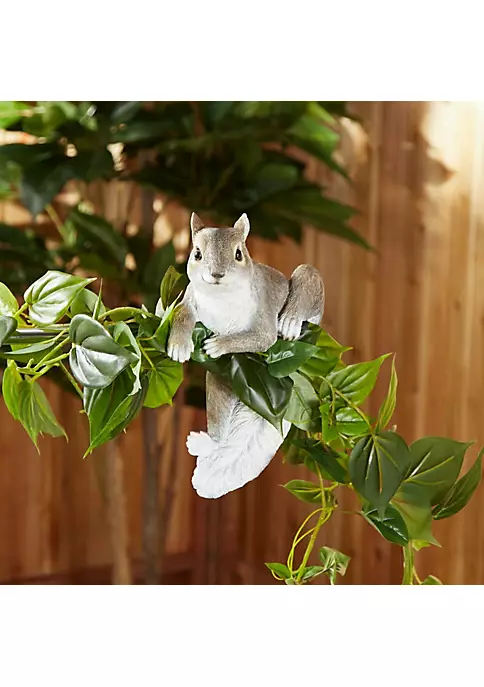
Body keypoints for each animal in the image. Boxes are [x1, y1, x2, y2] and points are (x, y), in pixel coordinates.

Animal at [167, 212, 325, 499]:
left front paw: (219, 345)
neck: (221, 298)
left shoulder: (262, 314)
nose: (216, 274)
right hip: (219, 384)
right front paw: (178, 345)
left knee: (306, 279)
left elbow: (260, 337)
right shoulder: (191, 300)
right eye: (197, 254)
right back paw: (207, 444)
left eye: (239, 254)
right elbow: (182, 314)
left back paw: (291, 321)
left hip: (308, 292)